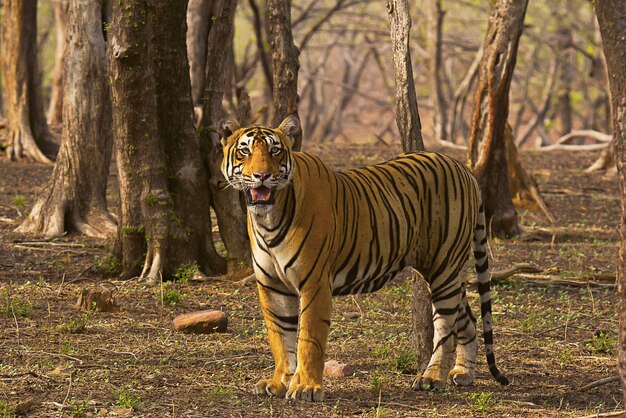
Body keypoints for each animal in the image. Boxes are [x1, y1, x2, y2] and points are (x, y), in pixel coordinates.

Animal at [219, 114, 508, 402]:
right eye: (245, 151)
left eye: (275, 151)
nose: (262, 176)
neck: (269, 218)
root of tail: (462, 167)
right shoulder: (272, 285)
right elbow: (280, 337)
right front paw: (280, 382)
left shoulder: (314, 282)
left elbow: (308, 338)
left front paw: (307, 388)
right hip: (442, 271)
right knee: (467, 319)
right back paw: (463, 373)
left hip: (444, 266)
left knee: (446, 326)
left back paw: (432, 378)